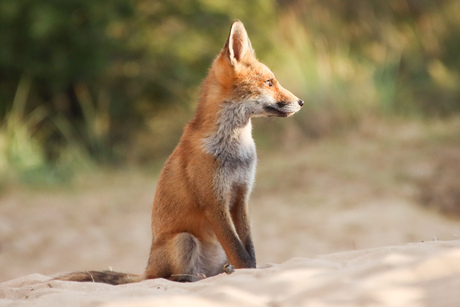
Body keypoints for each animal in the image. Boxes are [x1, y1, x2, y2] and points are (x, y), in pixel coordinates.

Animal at [56, 19, 302, 286]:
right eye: (269, 82)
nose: (301, 102)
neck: (234, 148)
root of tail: (147, 269)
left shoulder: (240, 198)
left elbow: (250, 251)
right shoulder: (214, 203)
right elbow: (241, 254)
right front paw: (249, 276)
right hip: (184, 240)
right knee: (172, 278)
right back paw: (187, 280)